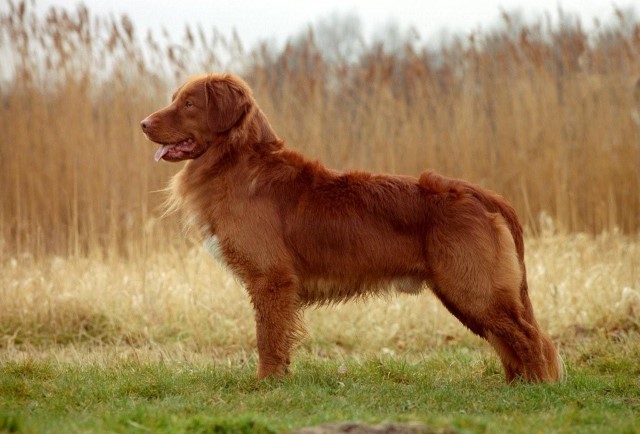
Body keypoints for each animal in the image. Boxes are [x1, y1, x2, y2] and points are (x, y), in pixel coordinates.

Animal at [142, 73, 564, 384]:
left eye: (189, 104)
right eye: (176, 98)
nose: (143, 124)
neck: (237, 164)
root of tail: (483, 195)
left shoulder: (270, 280)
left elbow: (268, 338)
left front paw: (266, 383)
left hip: (474, 289)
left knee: (530, 338)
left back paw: (537, 388)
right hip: (465, 293)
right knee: (511, 339)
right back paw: (515, 385)